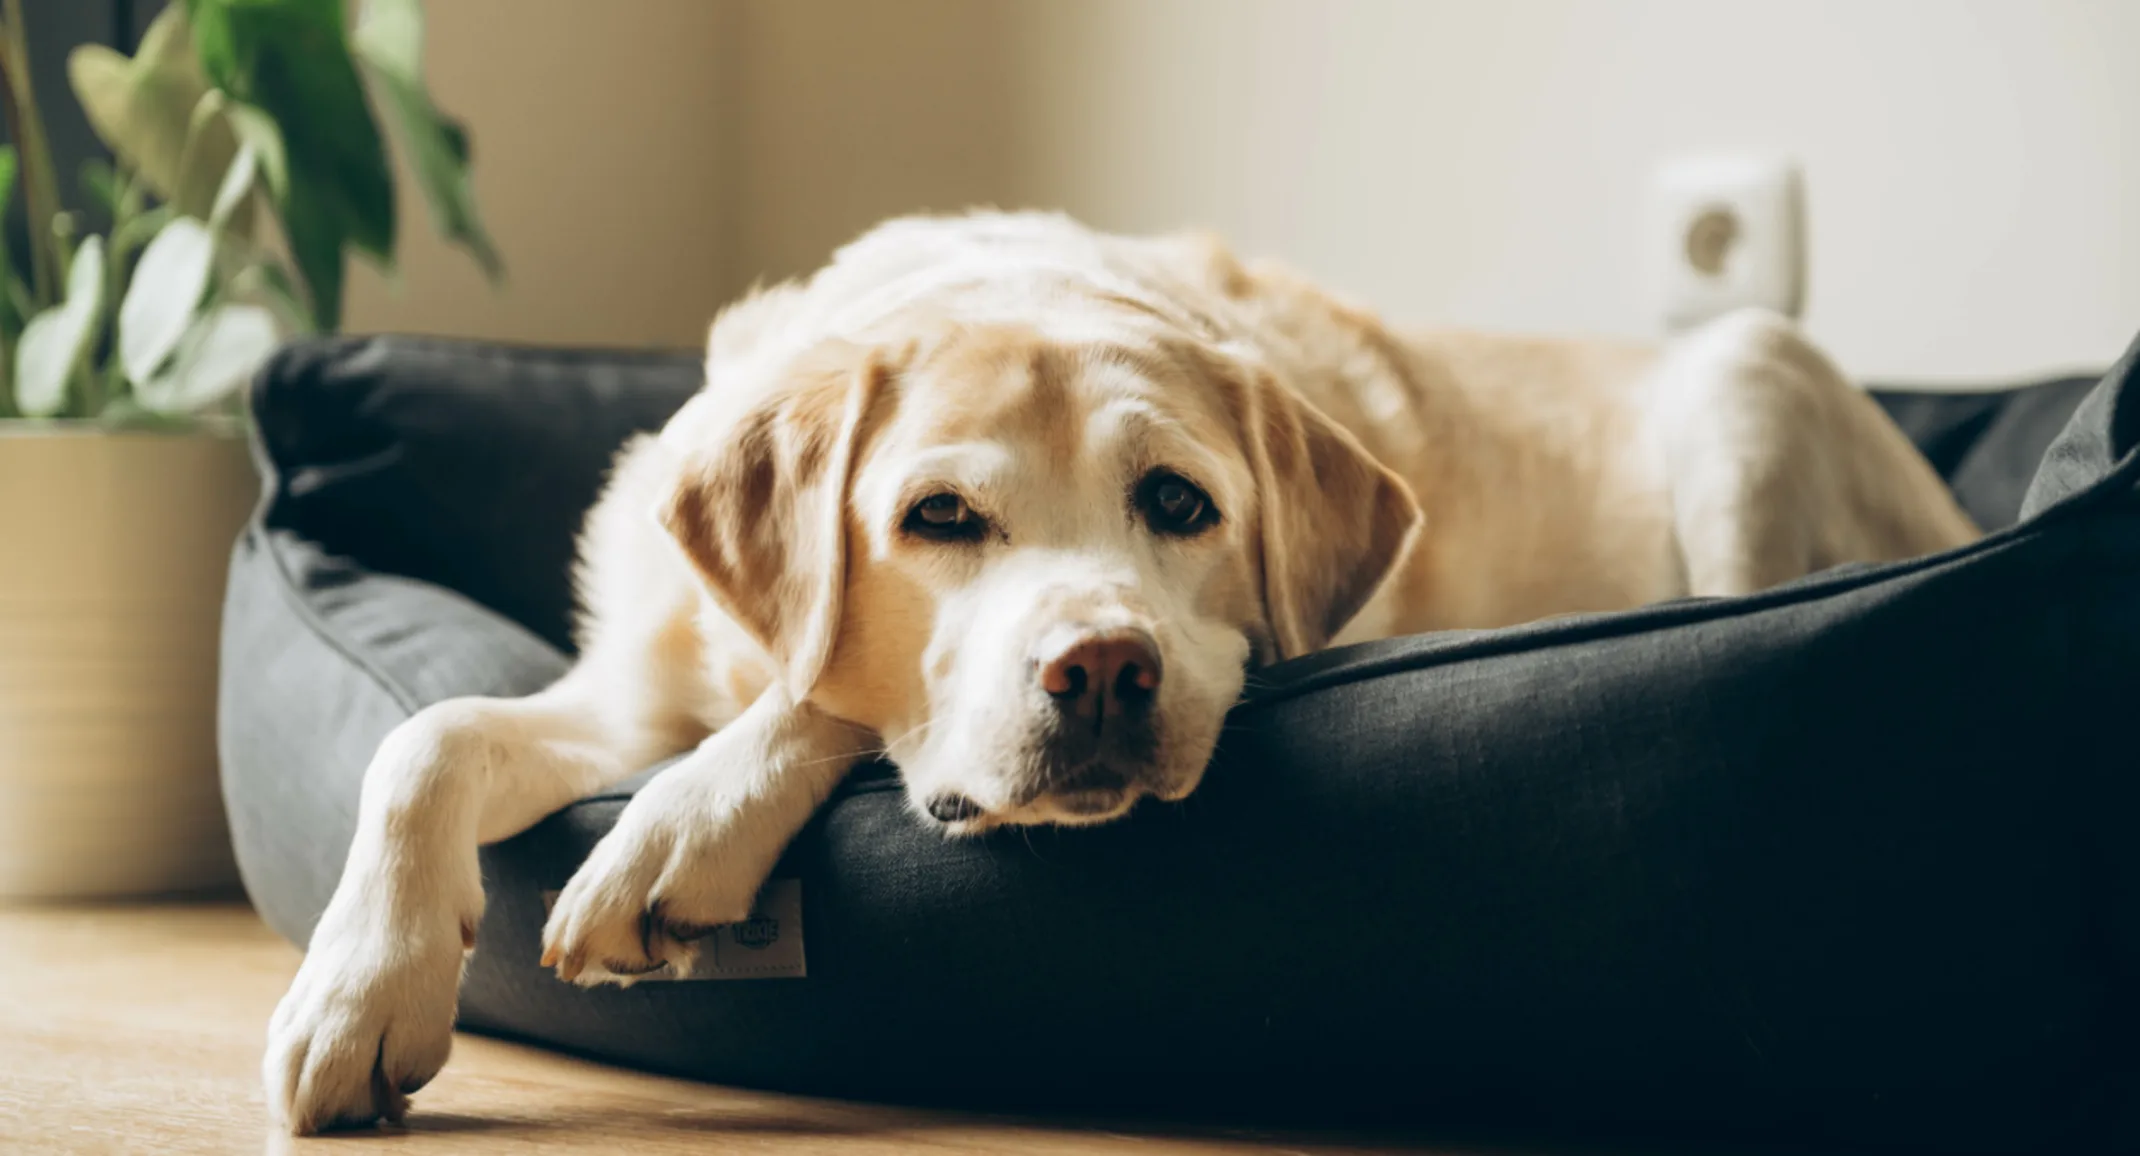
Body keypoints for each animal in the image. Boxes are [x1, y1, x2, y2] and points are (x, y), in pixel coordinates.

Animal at [258, 207, 1977, 1130]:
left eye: (1180, 505)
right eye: (940, 519)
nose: (1098, 672)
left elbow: (822, 701)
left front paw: (681, 830)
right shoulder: (626, 688)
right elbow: (426, 741)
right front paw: (356, 989)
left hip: (1749, 372)